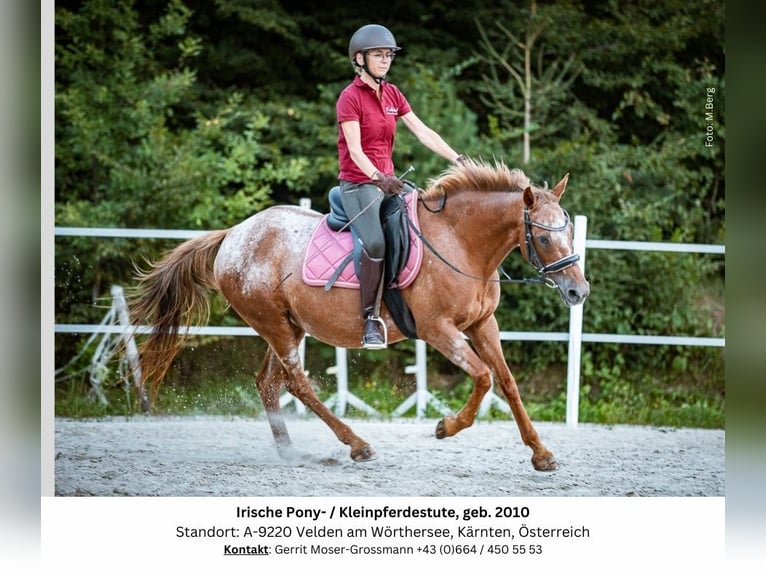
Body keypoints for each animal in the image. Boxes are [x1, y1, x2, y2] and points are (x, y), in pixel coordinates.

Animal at [129, 159, 592, 472]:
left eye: (570, 231)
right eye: (544, 240)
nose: (578, 291)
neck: (460, 242)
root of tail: (234, 235)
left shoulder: (483, 325)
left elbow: (508, 384)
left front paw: (541, 453)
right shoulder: (438, 330)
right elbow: (482, 378)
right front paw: (446, 426)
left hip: (287, 327)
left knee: (268, 384)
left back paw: (289, 451)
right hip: (275, 326)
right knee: (298, 384)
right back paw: (356, 444)